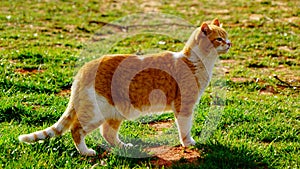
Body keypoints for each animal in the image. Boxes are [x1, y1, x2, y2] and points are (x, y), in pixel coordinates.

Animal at [17, 18, 231, 156]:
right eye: (219, 39)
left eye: (227, 36)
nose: (229, 43)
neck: (197, 62)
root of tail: (86, 66)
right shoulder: (184, 106)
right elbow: (185, 128)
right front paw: (189, 143)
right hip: (95, 112)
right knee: (76, 130)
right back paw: (86, 152)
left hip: (115, 112)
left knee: (107, 133)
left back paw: (124, 147)